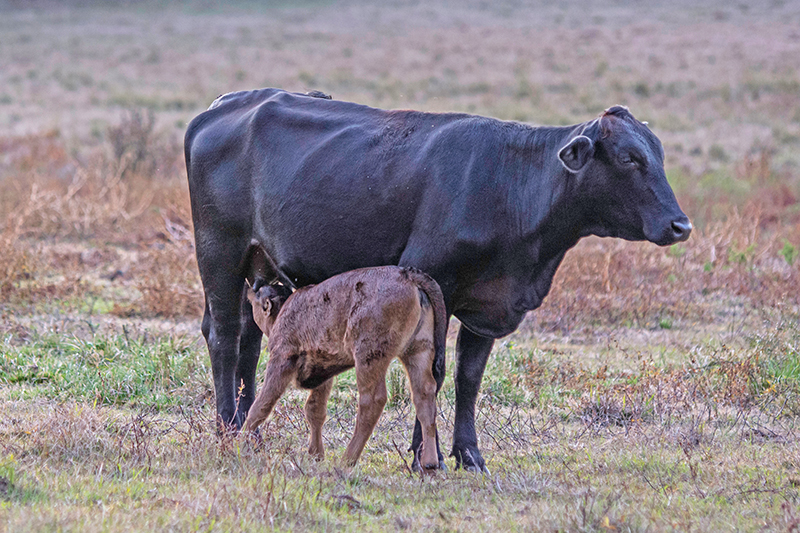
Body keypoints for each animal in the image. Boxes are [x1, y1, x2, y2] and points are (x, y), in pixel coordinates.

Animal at [242, 265, 447, 471]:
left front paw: (239, 443)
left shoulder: (281, 359)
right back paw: (430, 463)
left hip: (369, 357)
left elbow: (261, 405)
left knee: (372, 400)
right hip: (417, 351)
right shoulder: (323, 372)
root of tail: (408, 275)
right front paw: (316, 455)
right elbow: (315, 410)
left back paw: (346, 461)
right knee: (424, 395)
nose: (250, 291)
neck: (285, 308)